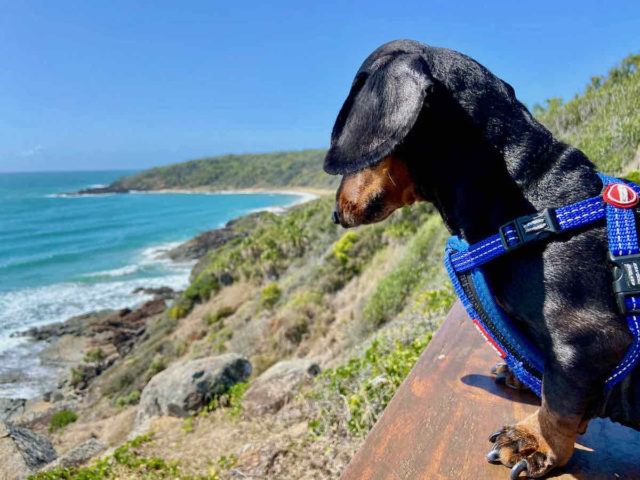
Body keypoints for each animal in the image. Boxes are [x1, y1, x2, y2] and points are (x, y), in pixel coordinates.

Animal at [324, 39, 640, 478]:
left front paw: (533, 442)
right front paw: (523, 376)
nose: (335, 215)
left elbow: (558, 405)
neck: (526, 201)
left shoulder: (588, 340)